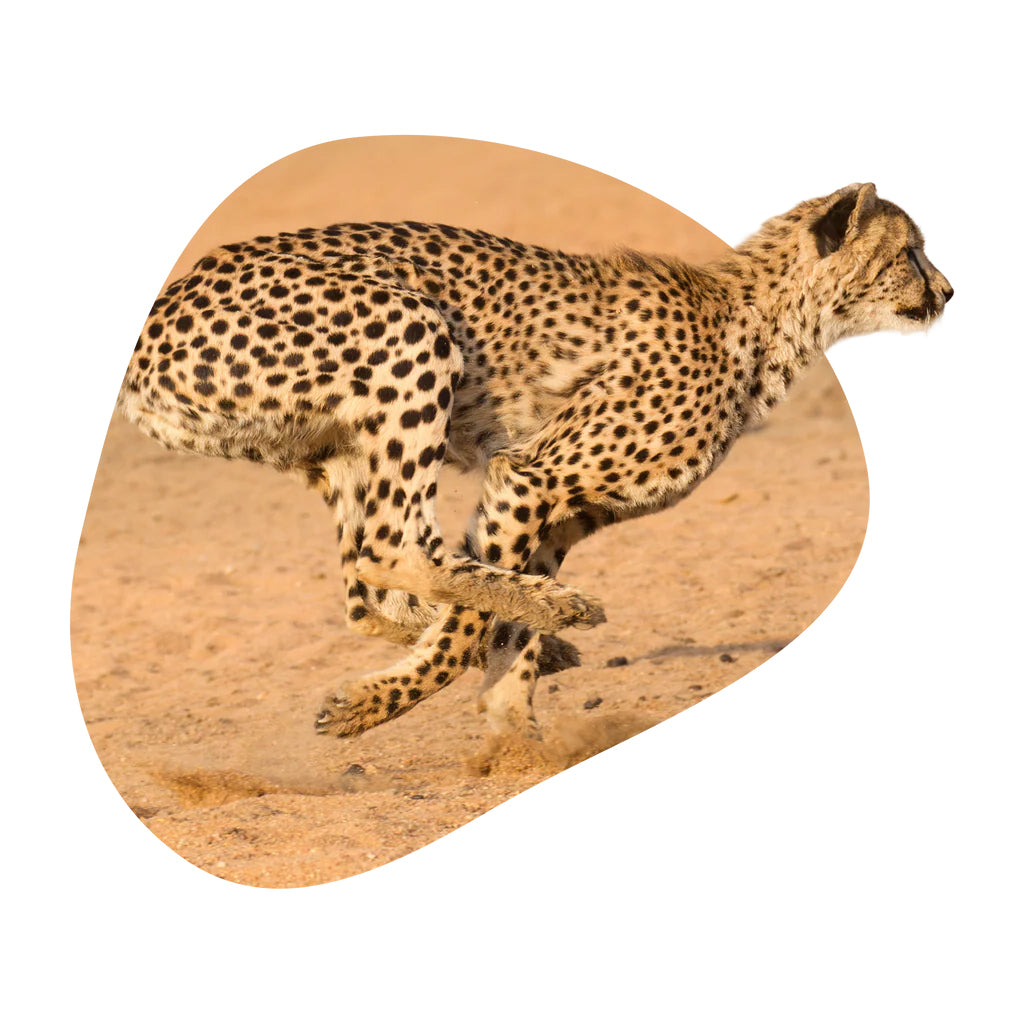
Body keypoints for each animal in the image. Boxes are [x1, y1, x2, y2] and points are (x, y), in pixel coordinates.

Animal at [118, 182, 952, 741]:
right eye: (908, 253)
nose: (948, 289)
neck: (764, 322)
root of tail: (164, 303)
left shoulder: (557, 512)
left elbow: (496, 625)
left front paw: (511, 722)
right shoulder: (531, 474)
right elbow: (470, 623)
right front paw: (380, 706)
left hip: (338, 444)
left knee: (365, 587)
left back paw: (546, 635)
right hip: (411, 328)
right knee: (389, 551)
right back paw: (557, 617)